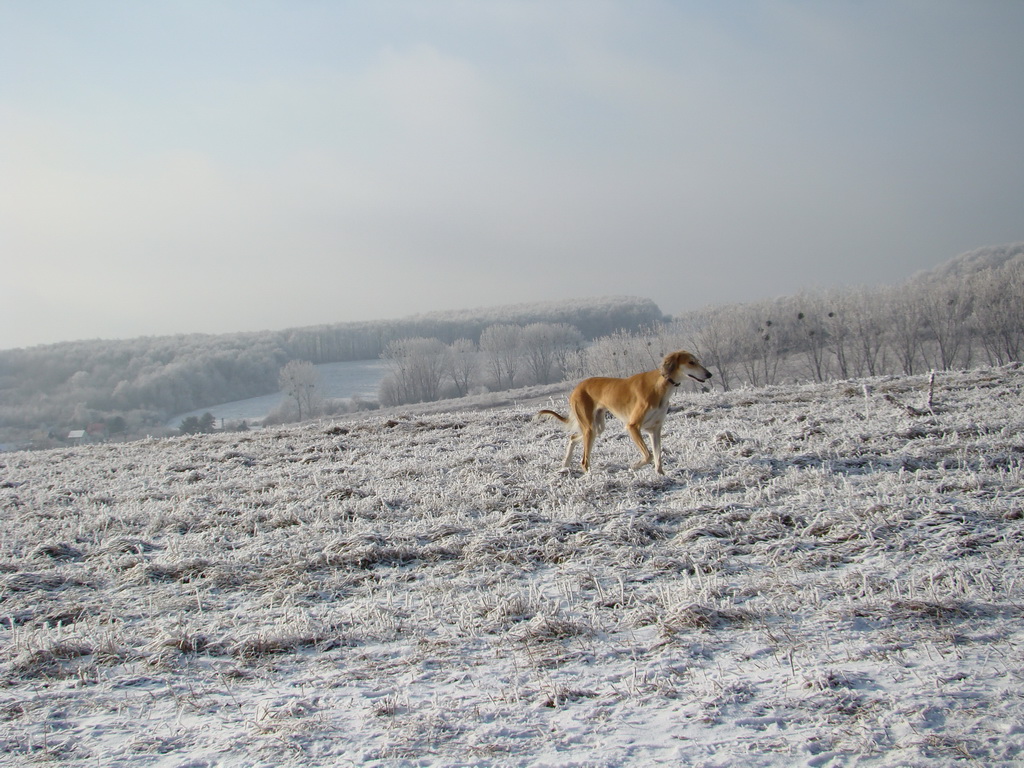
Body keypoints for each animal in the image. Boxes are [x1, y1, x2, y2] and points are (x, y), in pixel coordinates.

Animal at [536, 350, 712, 475]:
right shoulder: (633, 426)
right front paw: (634, 466)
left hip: (597, 427)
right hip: (590, 428)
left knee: (573, 437)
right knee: (584, 461)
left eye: (697, 361)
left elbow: (657, 456)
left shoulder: (655, 429)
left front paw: (660, 476)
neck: (661, 385)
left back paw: (565, 465)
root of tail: (577, 388)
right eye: (691, 362)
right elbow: (648, 455)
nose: (709, 374)